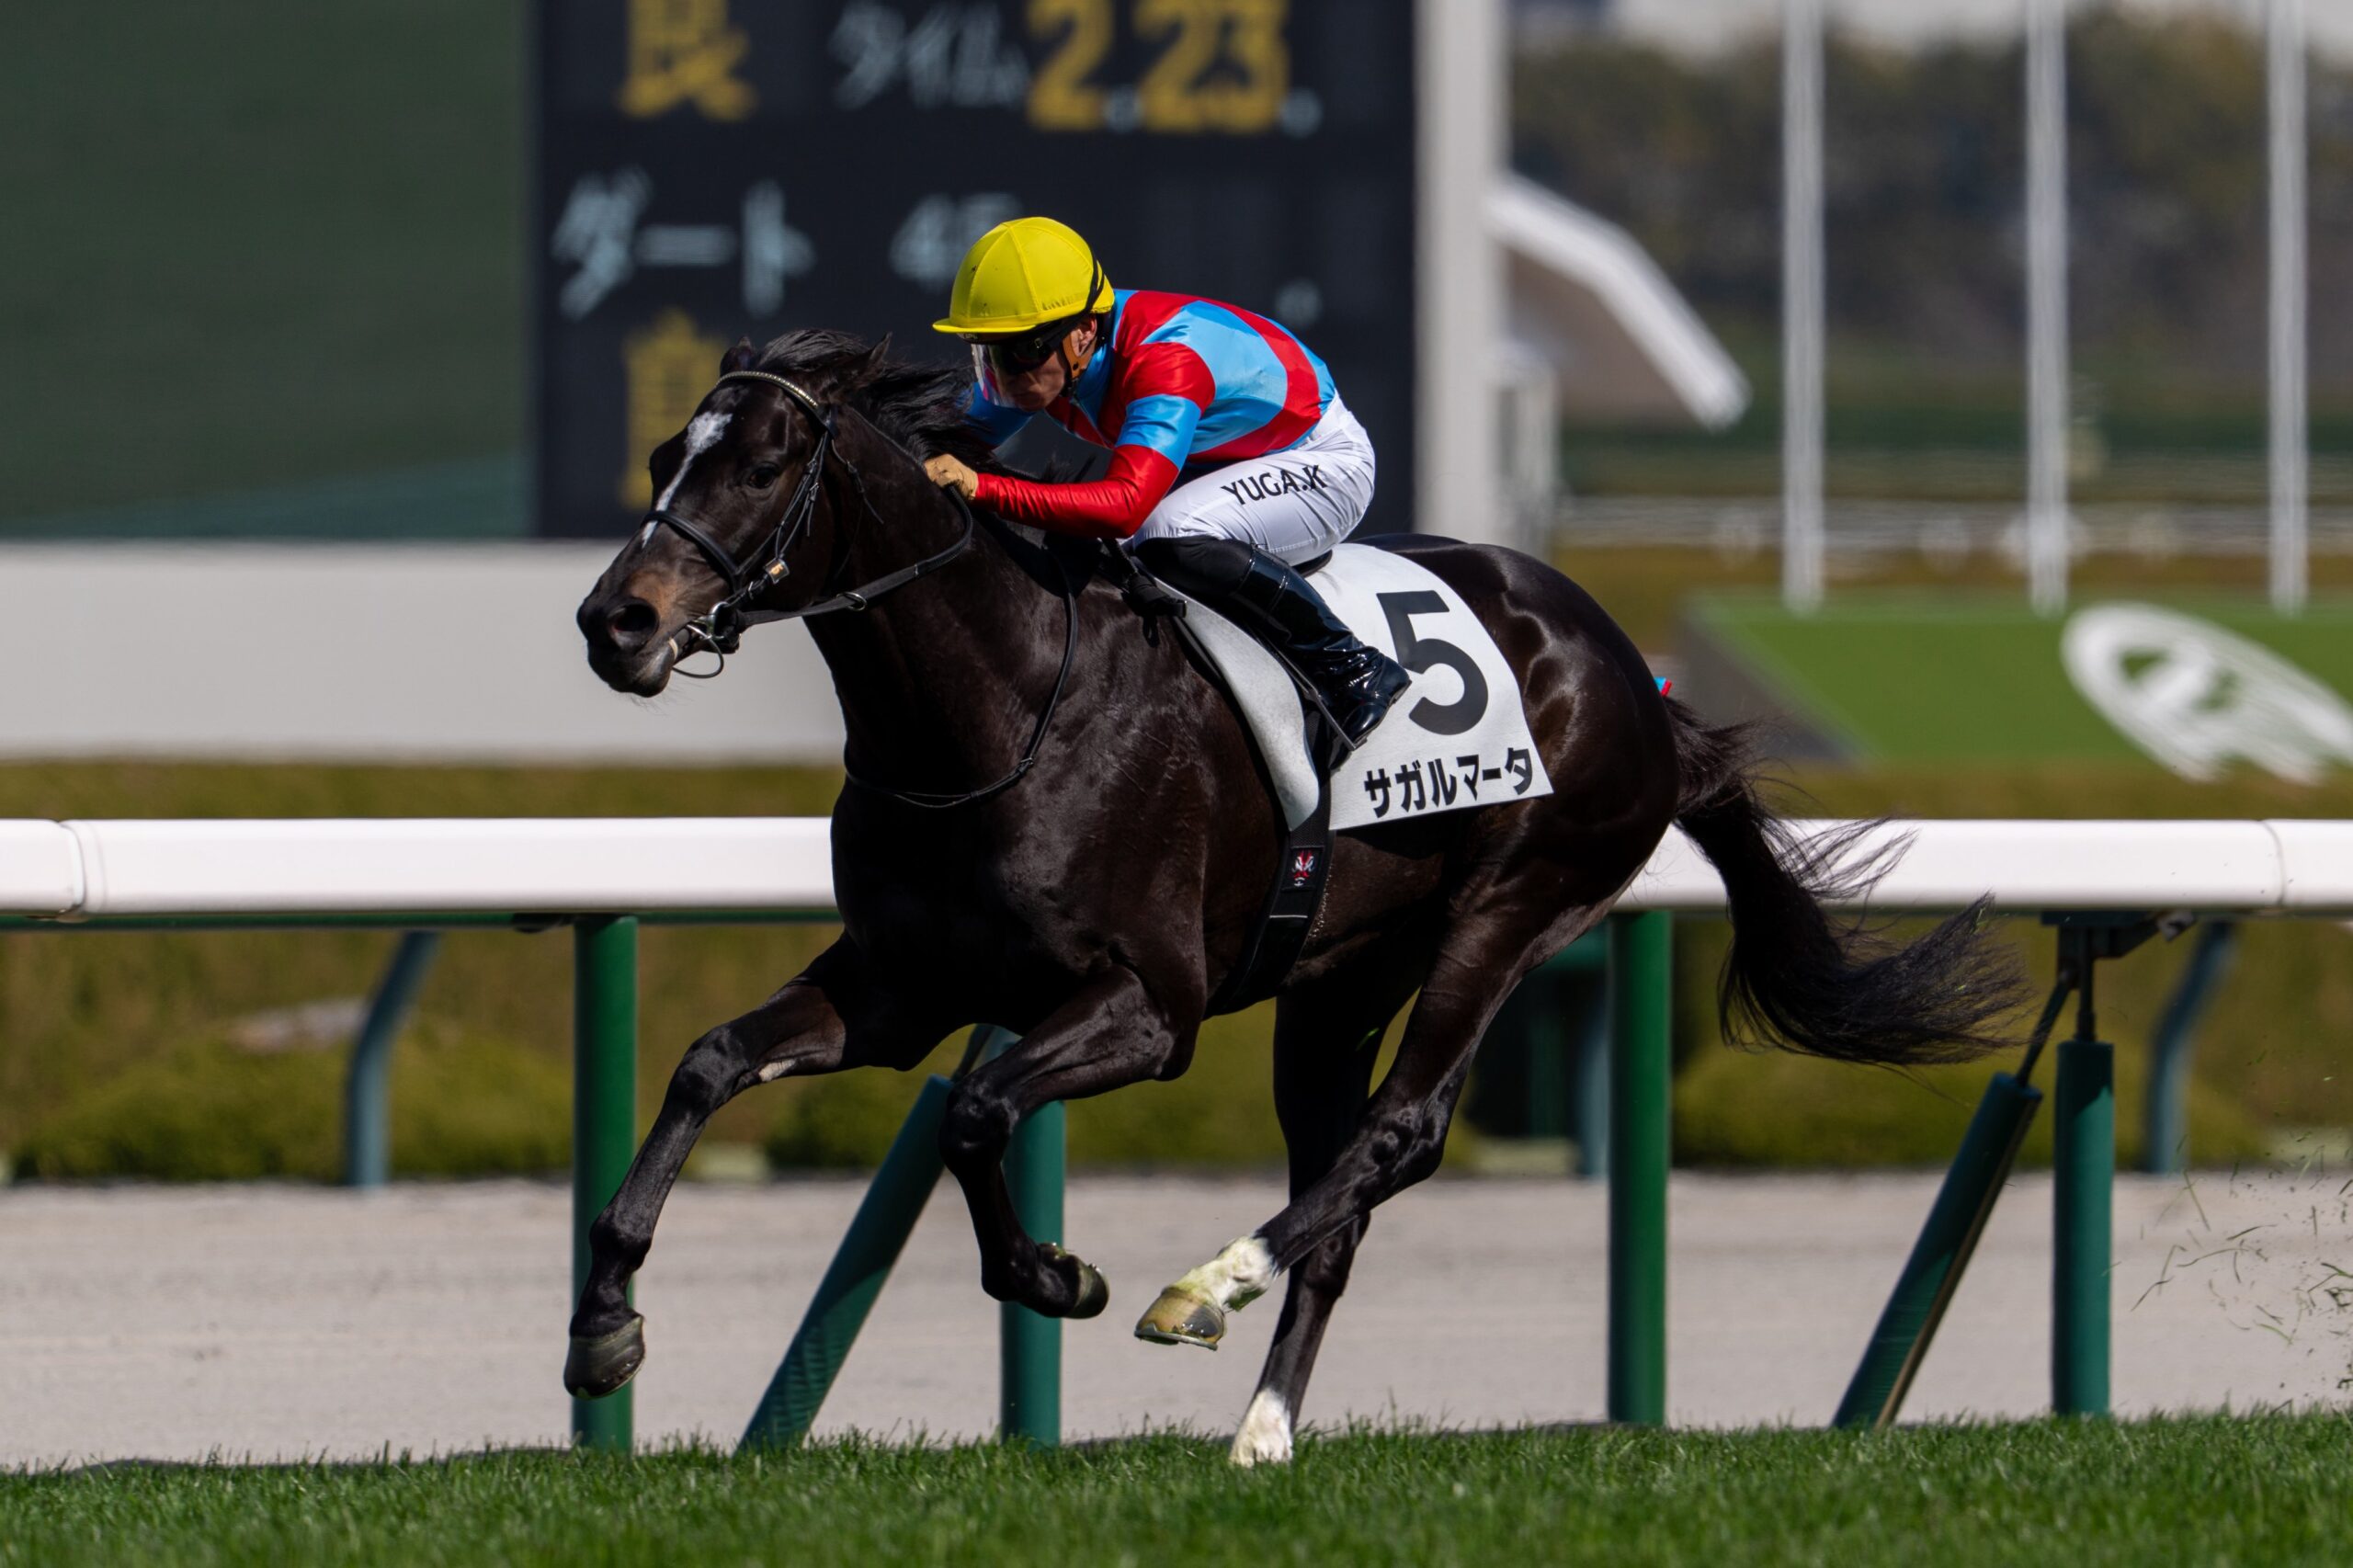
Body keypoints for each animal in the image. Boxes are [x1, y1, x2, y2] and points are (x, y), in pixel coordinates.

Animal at [566, 328, 2022, 1463]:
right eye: (661, 456)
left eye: (760, 465)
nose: (614, 622)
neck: (999, 707)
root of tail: (1629, 669)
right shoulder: (901, 981)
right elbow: (711, 1062)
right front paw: (603, 1324)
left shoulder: (1148, 1008)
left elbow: (977, 1113)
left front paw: (1058, 1273)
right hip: (1337, 976)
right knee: (1343, 1176)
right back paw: (1263, 1427)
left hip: (1517, 904)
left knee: (1401, 1133)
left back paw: (1206, 1286)